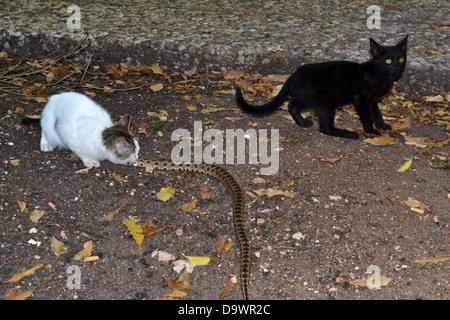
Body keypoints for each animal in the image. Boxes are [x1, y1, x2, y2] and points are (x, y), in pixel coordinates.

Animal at [236, 36, 408, 139]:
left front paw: (383, 126)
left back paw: (303, 123)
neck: (379, 75)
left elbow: (377, 114)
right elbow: (367, 117)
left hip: (308, 98)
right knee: (325, 128)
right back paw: (349, 134)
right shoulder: (361, 99)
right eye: (388, 61)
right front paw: (371, 131)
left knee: (291, 106)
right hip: (326, 102)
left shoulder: (373, 100)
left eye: (400, 59)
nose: (397, 68)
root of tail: (293, 75)